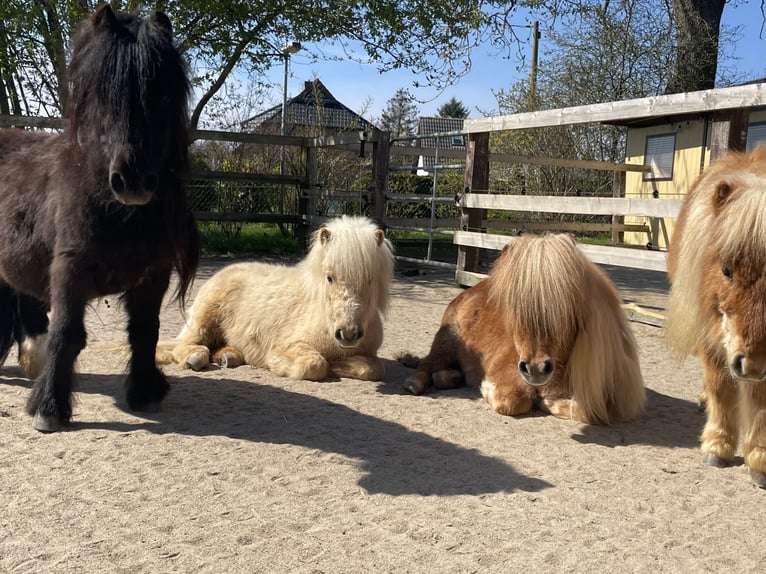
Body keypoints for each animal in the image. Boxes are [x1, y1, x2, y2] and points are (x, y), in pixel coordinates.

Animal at [0, 5, 201, 432]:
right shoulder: (68, 270)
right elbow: (67, 334)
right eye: (101, 92)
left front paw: (145, 392)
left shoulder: (153, 276)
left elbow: (145, 332)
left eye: (162, 94)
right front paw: (49, 408)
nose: (134, 181)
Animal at [158, 216, 392, 382]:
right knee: (184, 345)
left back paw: (229, 357)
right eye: (329, 277)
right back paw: (196, 358)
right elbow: (314, 364)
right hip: (203, 320)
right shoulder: (290, 346)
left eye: (370, 279)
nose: (348, 334)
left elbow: (375, 368)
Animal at [404, 234, 644, 428]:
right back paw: (414, 384)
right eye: (513, 307)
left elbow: (592, 413)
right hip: (445, 344)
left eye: (563, 305)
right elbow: (514, 401)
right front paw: (489, 390)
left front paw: (549, 402)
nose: (535, 369)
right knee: (427, 364)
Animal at [668, 146, 766, 488]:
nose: (752, 366)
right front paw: (718, 446)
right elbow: (721, 389)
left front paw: (759, 457)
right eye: (726, 270)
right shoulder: (711, 336)